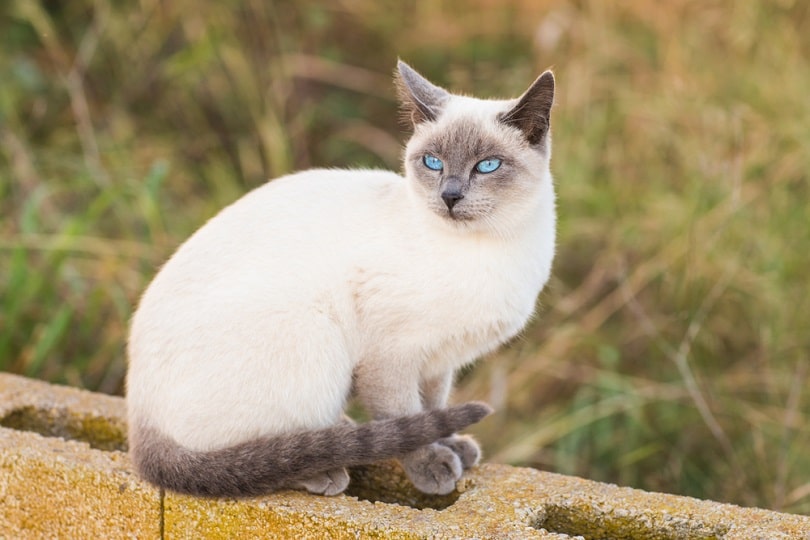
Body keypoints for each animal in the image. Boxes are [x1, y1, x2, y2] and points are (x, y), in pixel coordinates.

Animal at [126, 60, 556, 498]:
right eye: (433, 162)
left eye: (487, 165)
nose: (450, 196)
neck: (489, 248)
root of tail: (139, 418)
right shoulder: (392, 356)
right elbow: (404, 416)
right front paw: (432, 465)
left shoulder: (439, 359)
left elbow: (433, 408)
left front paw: (452, 445)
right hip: (314, 336)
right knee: (256, 453)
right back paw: (324, 467)